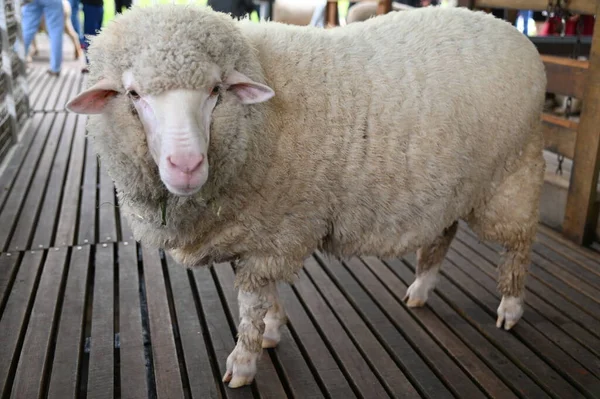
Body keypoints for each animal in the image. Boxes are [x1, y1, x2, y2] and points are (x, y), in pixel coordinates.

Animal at [65, 4, 548, 390]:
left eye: (215, 91)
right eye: (133, 95)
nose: (186, 165)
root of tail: (514, 34)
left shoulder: (275, 230)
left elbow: (251, 303)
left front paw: (244, 362)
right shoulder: (260, 234)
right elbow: (266, 295)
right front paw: (272, 329)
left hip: (511, 175)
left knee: (520, 243)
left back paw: (510, 307)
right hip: (452, 185)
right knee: (443, 234)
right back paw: (421, 288)